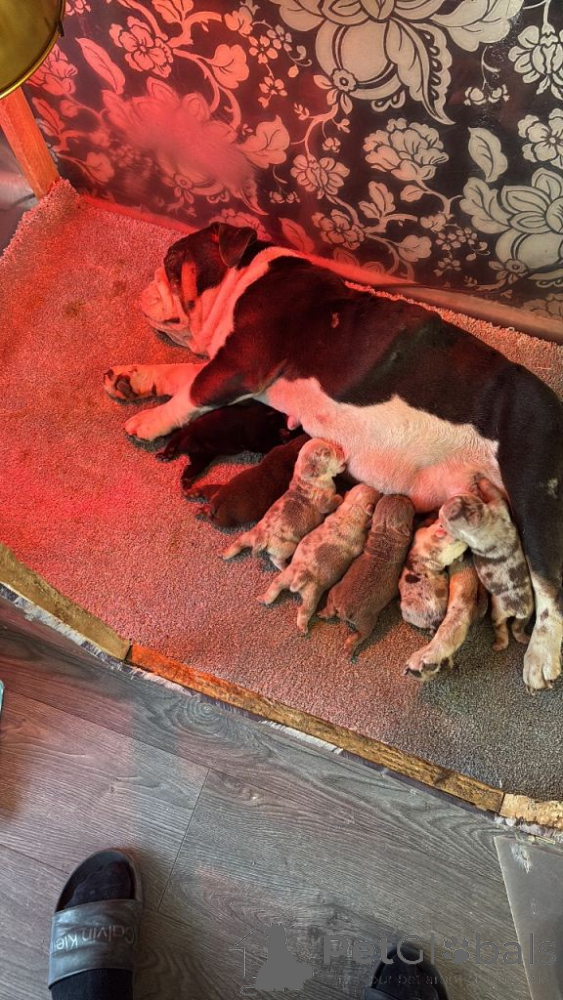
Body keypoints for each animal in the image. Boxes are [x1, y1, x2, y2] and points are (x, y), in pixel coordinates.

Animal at [222, 438, 345, 570]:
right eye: (328, 453)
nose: (342, 451)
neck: (308, 479)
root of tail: (259, 539)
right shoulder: (323, 504)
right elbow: (333, 501)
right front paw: (340, 497)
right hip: (287, 548)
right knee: (275, 559)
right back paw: (285, 567)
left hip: (248, 535)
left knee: (240, 541)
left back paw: (227, 552)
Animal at [259, 483, 378, 633]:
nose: (379, 491)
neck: (352, 509)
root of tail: (301, 575)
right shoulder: (360, 541)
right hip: (313, 594)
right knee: (305, 610)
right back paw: (302, 627)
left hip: (287, 576)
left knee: (276, 585)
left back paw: (263, 598)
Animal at [319, 494, 415, 654]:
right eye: (407, 503)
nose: (399, 494)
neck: (386, 532)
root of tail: (345, 609)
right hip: (367, 621)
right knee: (361, 635)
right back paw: (350, 646)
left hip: (334, 591)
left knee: (330, 608)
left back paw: (323, 613)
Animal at [440, 479, 535, 661]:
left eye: (451, 515)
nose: (440, 508)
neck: (484, 521)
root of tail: (518, 609)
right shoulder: (500, 506)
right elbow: (495, 493)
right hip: (529, 610)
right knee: (517, 627)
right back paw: (524, 639)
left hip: (498, 612)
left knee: (501, 628)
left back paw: (498, 645)